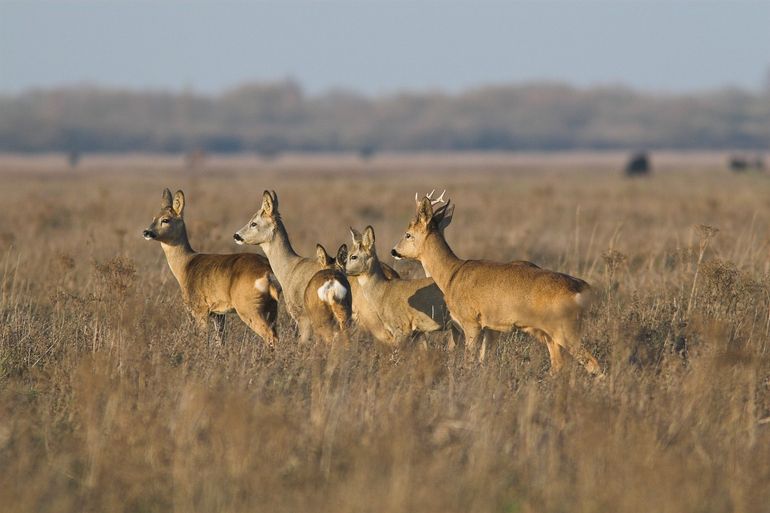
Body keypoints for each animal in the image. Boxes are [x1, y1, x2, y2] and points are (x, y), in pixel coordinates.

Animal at [142, 188, 278, 344]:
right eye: (153, 218)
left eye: (165, 219)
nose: (146, 232)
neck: (185, 265)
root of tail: (267, 273)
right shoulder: (218, 313)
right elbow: (221, 341)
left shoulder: (200, 308)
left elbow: (203, 339)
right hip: (271, 307)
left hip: (248, 307)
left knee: (270, 335)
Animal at [390, 188, 600, 372]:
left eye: (408, 234)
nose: (394, 251)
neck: (451, 274)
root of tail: (583, 288)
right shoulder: (492, 328)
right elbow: (484, 360)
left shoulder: (471, 322)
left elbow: (469, 361)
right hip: (551, 335)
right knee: (558, 365)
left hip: (564, 329)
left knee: (592, 363)